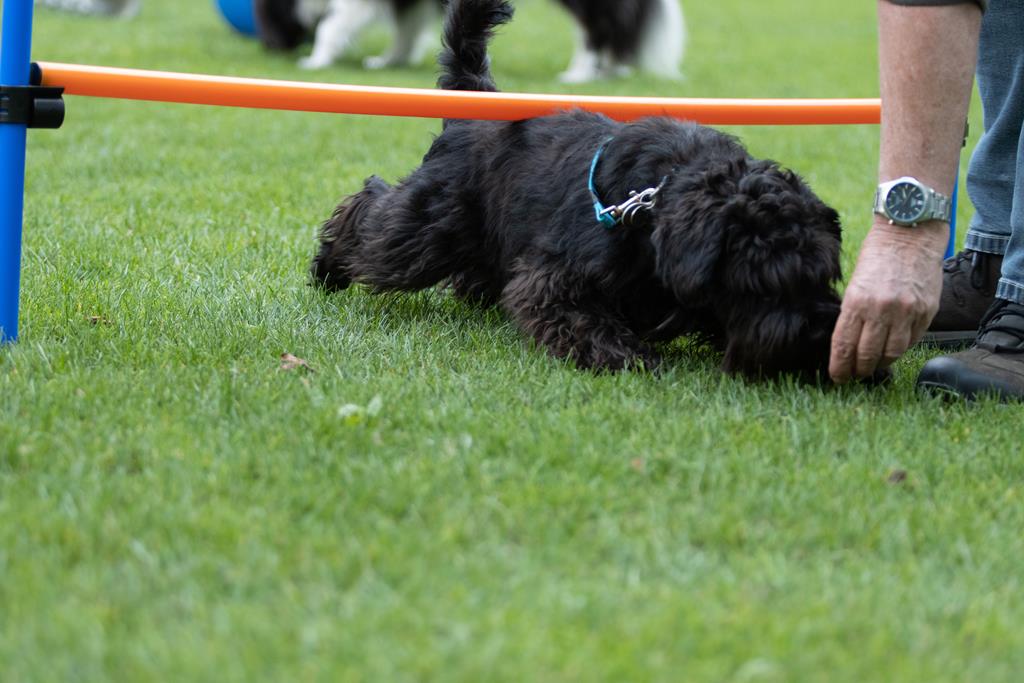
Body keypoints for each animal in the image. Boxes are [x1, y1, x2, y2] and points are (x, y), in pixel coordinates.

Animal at [310, 0, 844, 379]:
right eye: (764, 278)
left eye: (823, 273)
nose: (819, 330)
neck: (657, 201)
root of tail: (475, 99)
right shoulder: (555, 274)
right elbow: (580, 317)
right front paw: (627, 355)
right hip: (430, 224)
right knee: (374, 216)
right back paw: (328, 266)